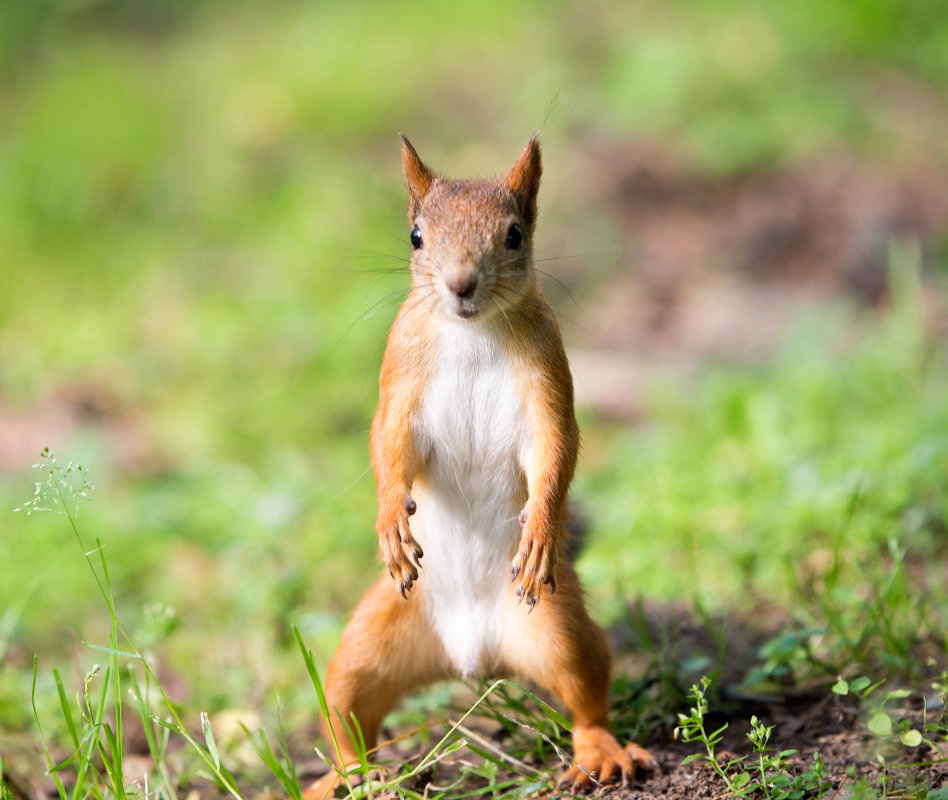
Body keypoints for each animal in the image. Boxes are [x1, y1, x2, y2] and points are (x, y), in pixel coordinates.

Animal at [306, 134, 660, 796]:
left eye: (514, 234)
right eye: (416, 235)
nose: (460, 284)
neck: (469, 332)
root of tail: (470, 656)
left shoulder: (548, 380)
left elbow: (555, 451)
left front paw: (541, 528)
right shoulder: (400, 376)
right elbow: (388, 443)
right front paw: (390, 521)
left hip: (560, 630)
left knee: (588, 694)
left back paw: (601, 754)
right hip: (370, 639)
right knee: (345, 711)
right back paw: (340, 777)